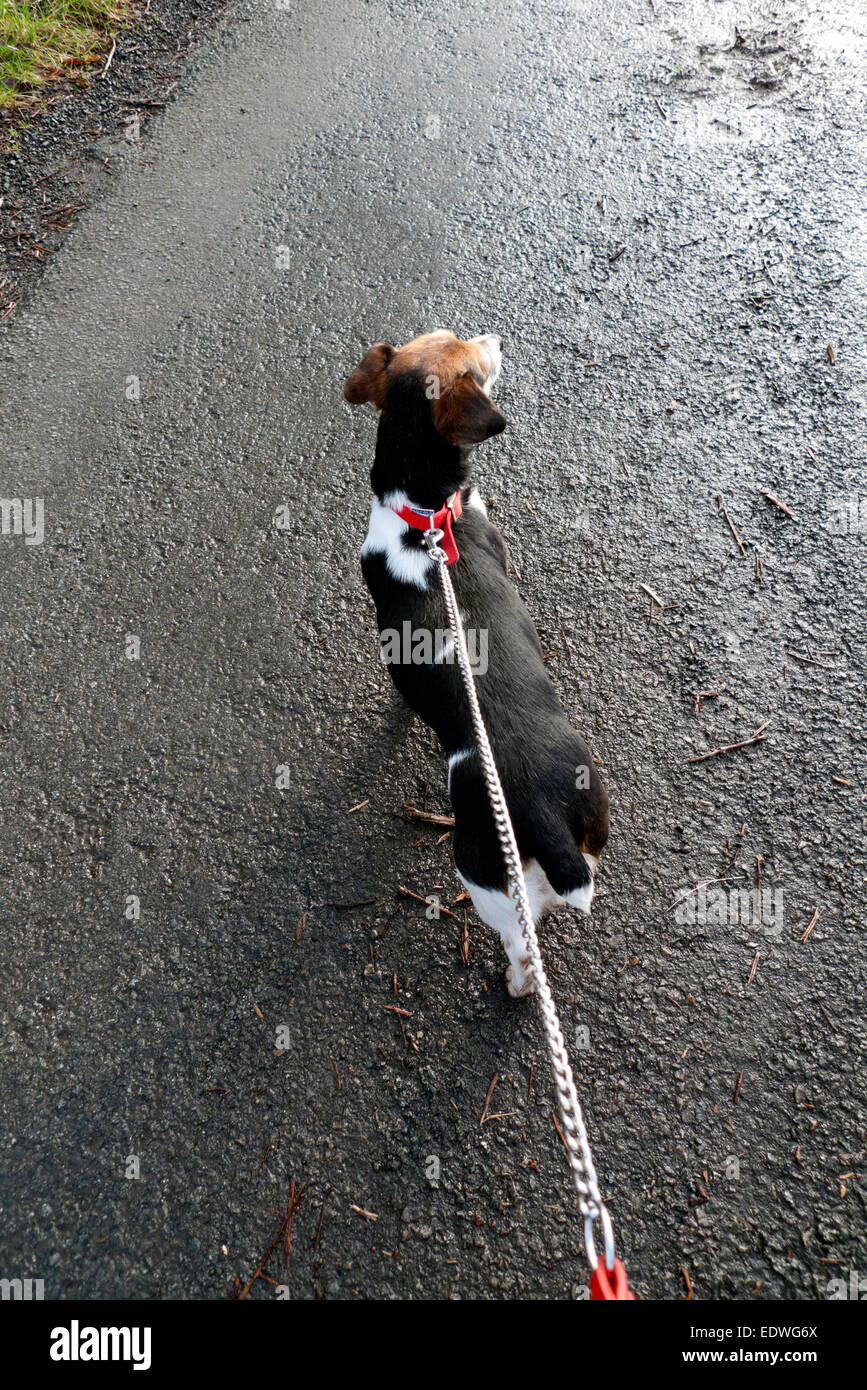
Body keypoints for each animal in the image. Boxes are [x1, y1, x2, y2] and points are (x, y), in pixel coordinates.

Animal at [345, 330, 608, 995]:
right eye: (468, 351)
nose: (494, 336)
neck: (426, 510)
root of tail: (542, 810)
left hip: (481, 878)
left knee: (521, 948)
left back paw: (514, 987)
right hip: (589, 824)